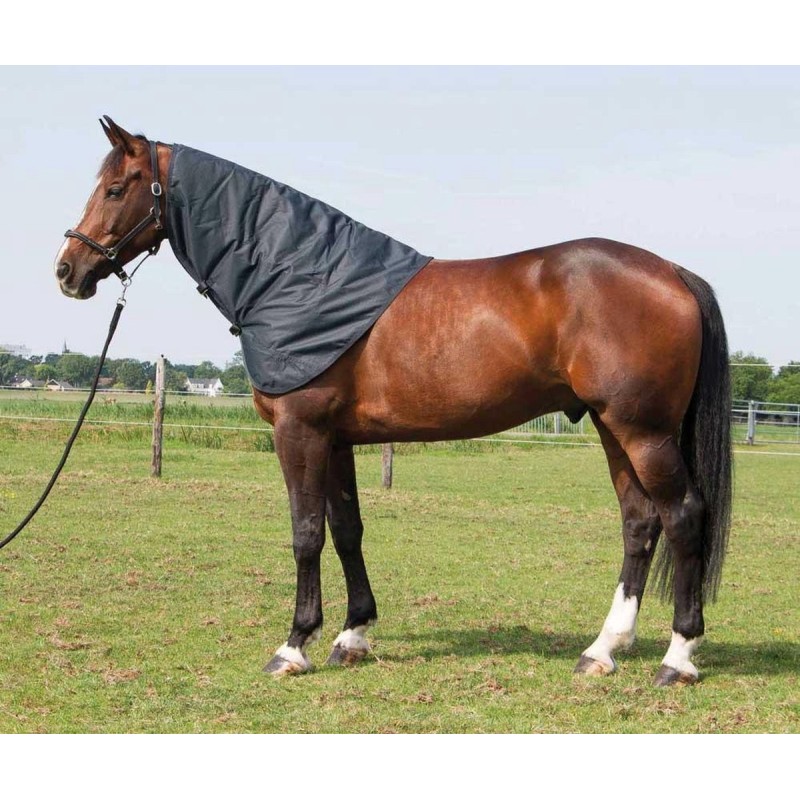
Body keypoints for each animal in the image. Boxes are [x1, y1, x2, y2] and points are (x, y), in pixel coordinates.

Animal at [55, 117, 732, 686]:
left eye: (116, 188)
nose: (67, 270)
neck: (299, 275)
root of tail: (673, 272)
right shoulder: (334, 439)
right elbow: (346, 529)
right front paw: (351, 635)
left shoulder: (298, 431)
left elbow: (305, 533)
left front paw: (293, 646)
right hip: (614, 429)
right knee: (639, 523)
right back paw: (602, 650)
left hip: (644, 431)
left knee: (682, 516)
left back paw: (678, 658)